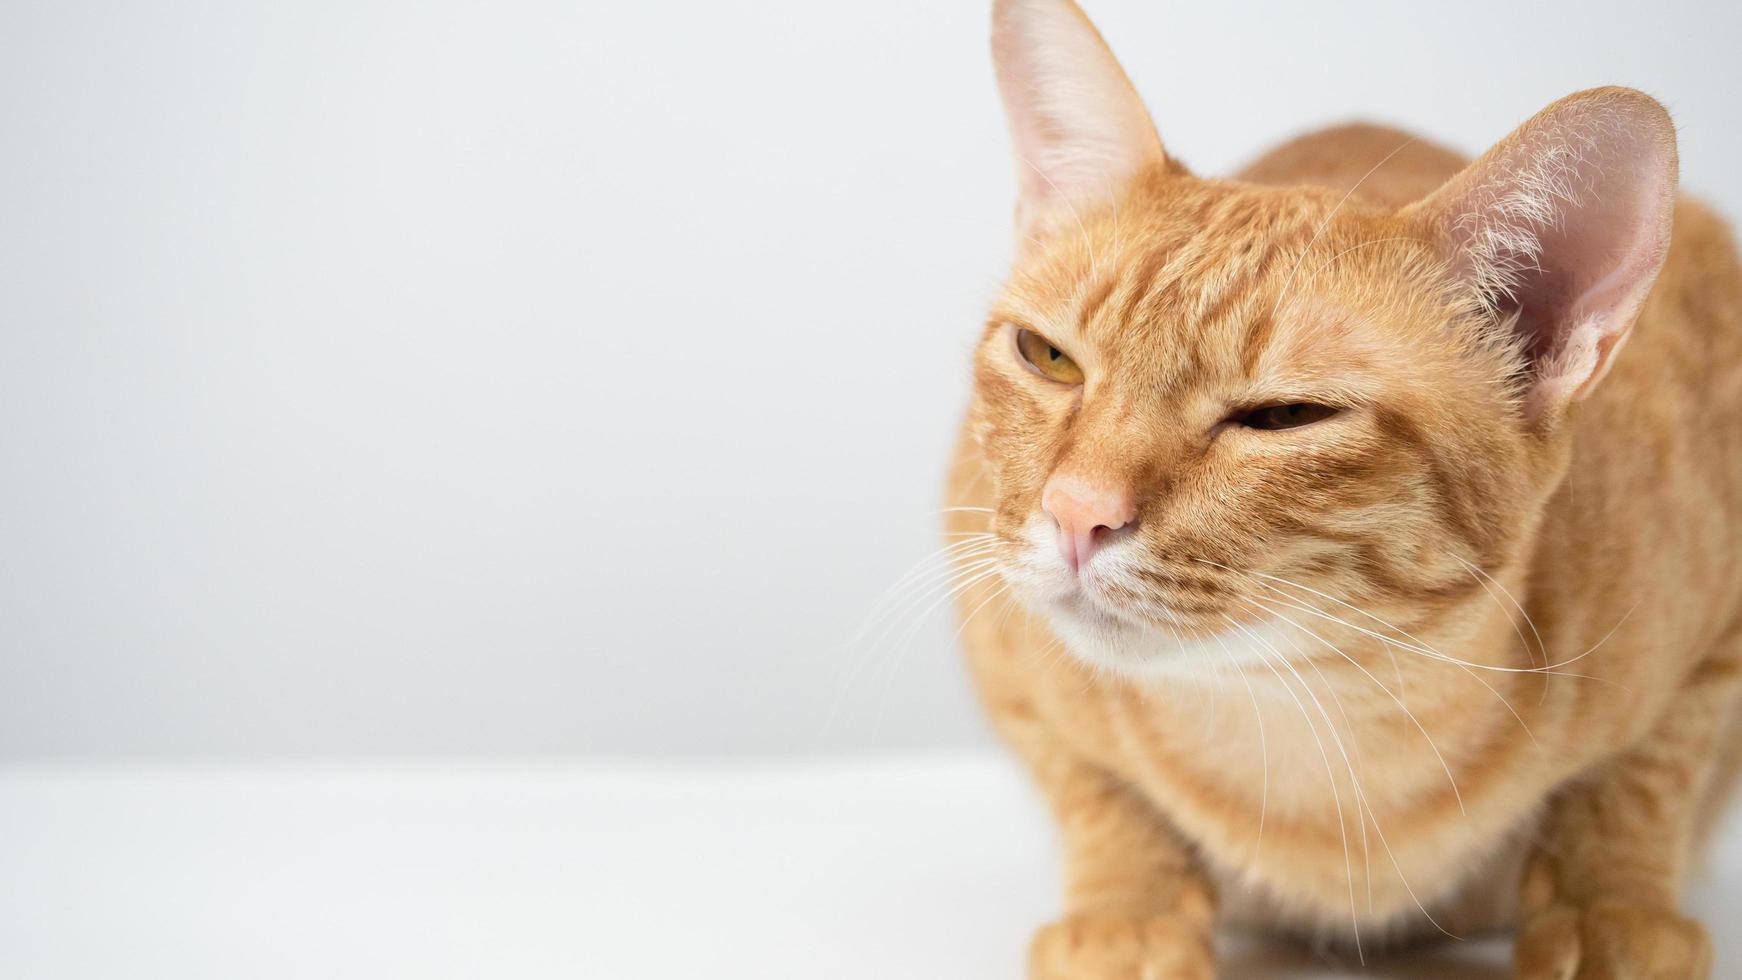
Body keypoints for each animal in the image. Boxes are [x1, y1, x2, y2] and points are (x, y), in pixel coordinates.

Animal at [954, 1, 1742, 980]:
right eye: (1050, 358)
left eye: (1284, 416)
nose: (1075, 511)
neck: (1320, 728)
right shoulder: (1004, 651)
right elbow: (1098, 789)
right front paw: (1126, 911)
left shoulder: (1716, 638)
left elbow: (1640, 784)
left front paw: (1608, 911)